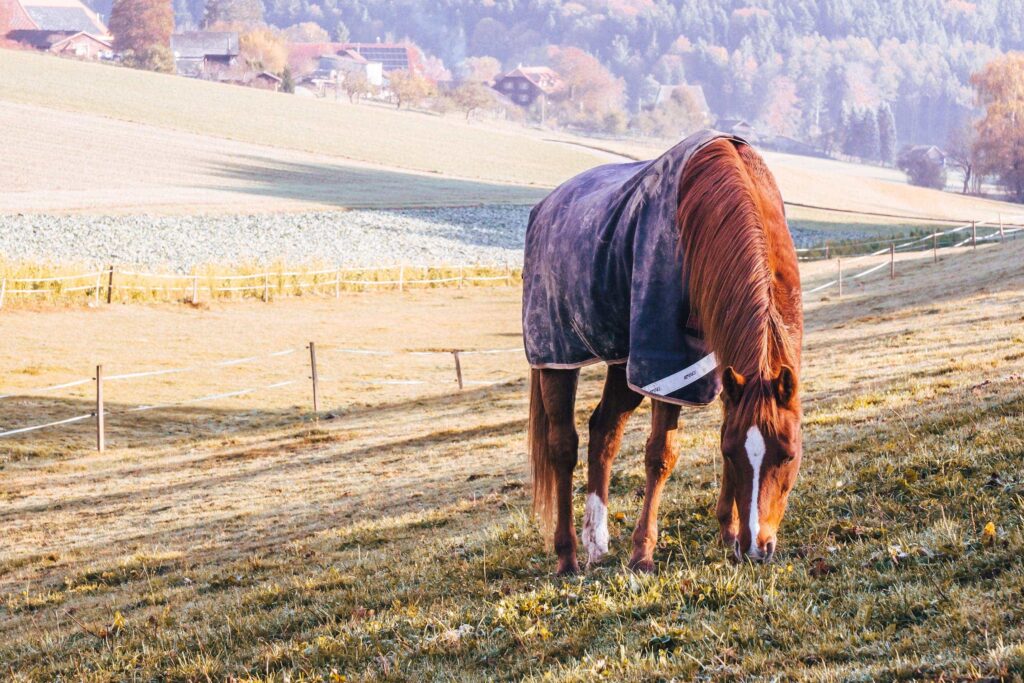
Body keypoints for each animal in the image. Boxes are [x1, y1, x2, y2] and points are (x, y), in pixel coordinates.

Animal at [522, 131, 803, 575]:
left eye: (789, 455)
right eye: (734, 455)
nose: (757, 548)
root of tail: (546, 206)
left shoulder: (713, 362)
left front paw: (727, 532)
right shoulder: (666, 361)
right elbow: (660, 455)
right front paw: (643, 553)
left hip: (624, 360)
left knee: (604, 433)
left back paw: (596, 542)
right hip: (557, 354)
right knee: (563, 447)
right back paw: (567, 555)